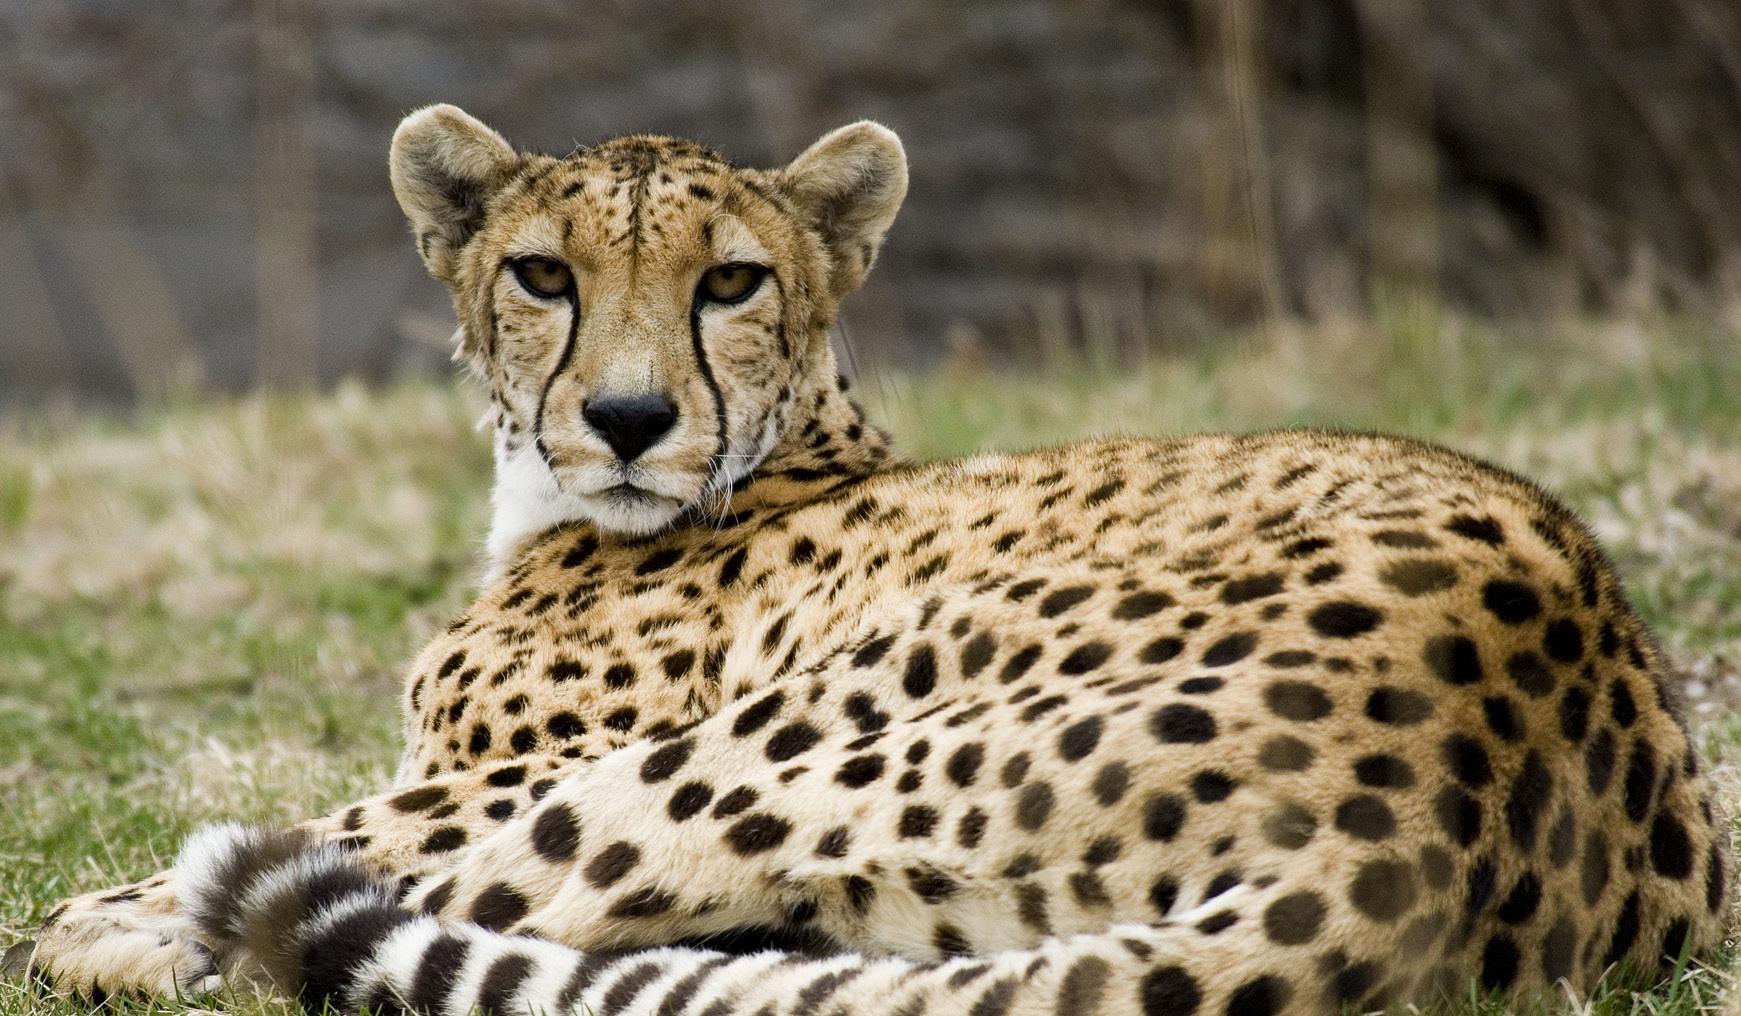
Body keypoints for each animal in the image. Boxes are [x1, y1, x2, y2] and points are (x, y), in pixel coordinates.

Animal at [7, 104, 1730, 1016]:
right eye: (544, 276)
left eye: (733, 283)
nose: (627, 419)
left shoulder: (514, 759)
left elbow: (300, 835)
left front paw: (107, 920)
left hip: (740, 757)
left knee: (457, 894)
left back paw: (133, 940)